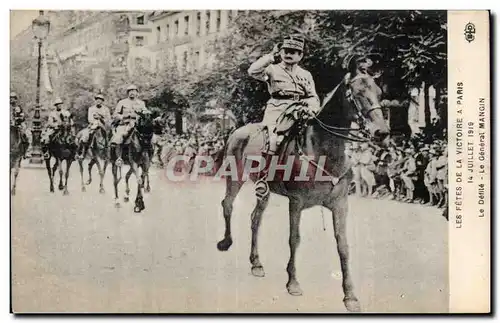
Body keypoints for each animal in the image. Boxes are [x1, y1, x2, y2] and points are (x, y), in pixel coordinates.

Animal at [215, 64, 390, 314]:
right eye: (357, 93)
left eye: (379, 91)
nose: (381, 133)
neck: (323, 148)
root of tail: (237, 130)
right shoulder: (296, 203)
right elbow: (294, 239)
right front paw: (293, 282)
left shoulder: (340, 204)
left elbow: (343, 246)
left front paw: (350, 296)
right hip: (235, 175)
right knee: (228, 204)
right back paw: (226, 242)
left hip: (263, 190)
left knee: (255, 218)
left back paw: (256, 263)